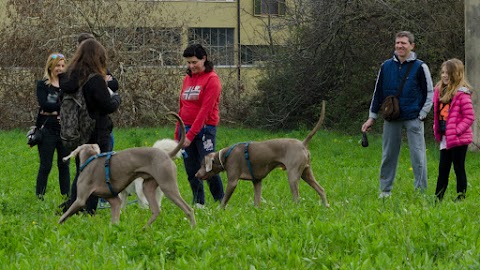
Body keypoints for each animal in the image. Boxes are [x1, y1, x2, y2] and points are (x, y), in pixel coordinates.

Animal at [58, 112, 195, 228]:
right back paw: (144, 229)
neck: (90, 159)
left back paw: (193, 228)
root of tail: (167, 154)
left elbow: (63, 217)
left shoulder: (80, 200)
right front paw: (115, 230)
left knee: (188, 209)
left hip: (167, 185)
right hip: (148, 186)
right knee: (156, 210)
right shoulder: (115, 200)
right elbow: (116, 217)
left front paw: (55, 227)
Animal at [195, 101, 330, 209]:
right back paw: (326, 207)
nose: (196, 175)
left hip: (293, 174)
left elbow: (224, 200)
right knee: (321, 189)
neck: (224, 156)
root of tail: (303, 143)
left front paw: (219, 211)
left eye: (202, 164)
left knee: (297, 197)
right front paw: (256, 211)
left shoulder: (232, 181)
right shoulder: (257, 181)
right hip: (306, 172)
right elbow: (257, 200)